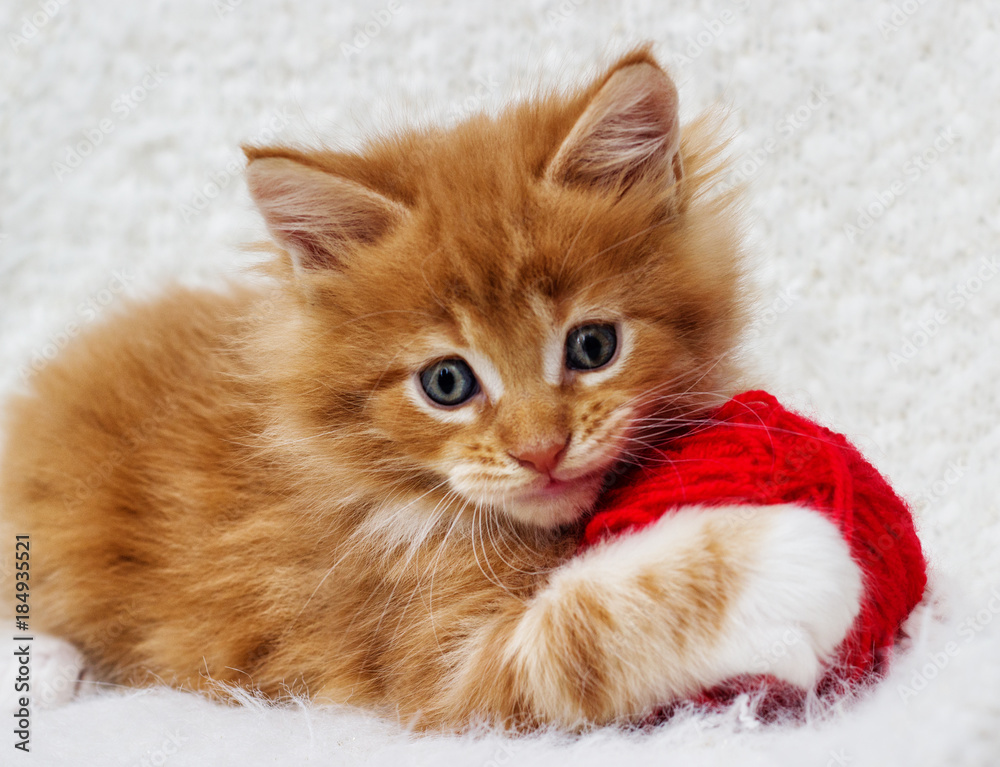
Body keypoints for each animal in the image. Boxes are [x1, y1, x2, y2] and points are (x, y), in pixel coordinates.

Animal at [0, 49, 864, 732]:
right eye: (446, 382)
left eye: (593, 346)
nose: (541, 449)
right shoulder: (439, 662)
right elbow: (584, 627)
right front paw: (792, 562)